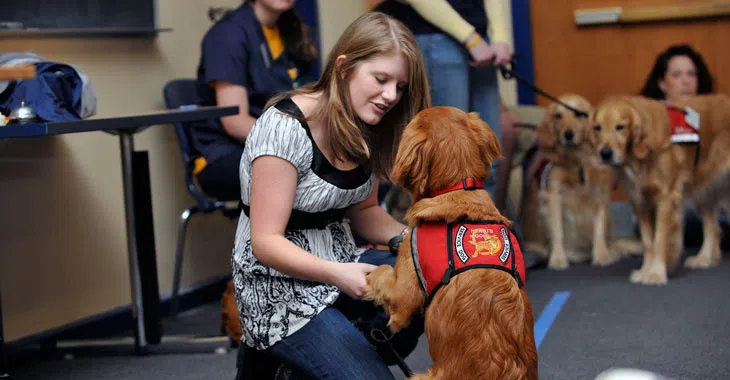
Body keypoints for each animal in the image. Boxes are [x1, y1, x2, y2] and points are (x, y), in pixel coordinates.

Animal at [524, 93, 636, 268]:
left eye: (578, 114)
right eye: (558, 116)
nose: (568, 134)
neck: (578, 160)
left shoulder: (600, 194)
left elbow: (599, 229)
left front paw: (601, 255)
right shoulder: (554, 195)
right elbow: (557, 231)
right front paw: (558, 258)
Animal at [592, 94, 728, 284]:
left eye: (620, 127)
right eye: (598, 128)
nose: (605, 153)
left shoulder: (665, 197)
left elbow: (659, 239)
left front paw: (656, 273)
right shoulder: (639, 201)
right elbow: (648, 242)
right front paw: (645, 271)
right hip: (704, 191)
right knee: (713, 228)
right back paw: (704, 258)